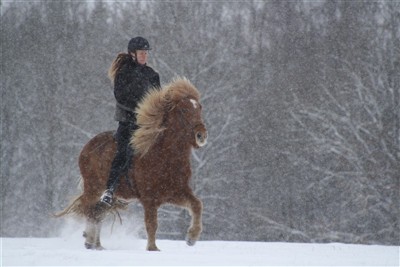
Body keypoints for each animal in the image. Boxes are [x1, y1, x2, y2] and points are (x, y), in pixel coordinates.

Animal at [57, 77, 208, 251]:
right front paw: (152, 248)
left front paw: (192, 237)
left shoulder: (175, 192)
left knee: (98, 212)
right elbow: (151, 224)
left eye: (199, 108)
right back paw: (89, 241)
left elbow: (197, 205)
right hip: (93, 187)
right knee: (91, 211)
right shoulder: (149, 198)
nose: (201, 135)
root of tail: (88, 146)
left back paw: (97, 245)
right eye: (183, 110)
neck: (165, 155)